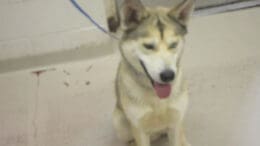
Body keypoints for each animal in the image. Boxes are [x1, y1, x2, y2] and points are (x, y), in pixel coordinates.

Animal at [107, 0, 195, 145]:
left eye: (173, 45)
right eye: (148, 46)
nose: (168, 75)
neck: (157, 99)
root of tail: (157, 135)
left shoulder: (175, 123)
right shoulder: (139, 129)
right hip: (118, 121)